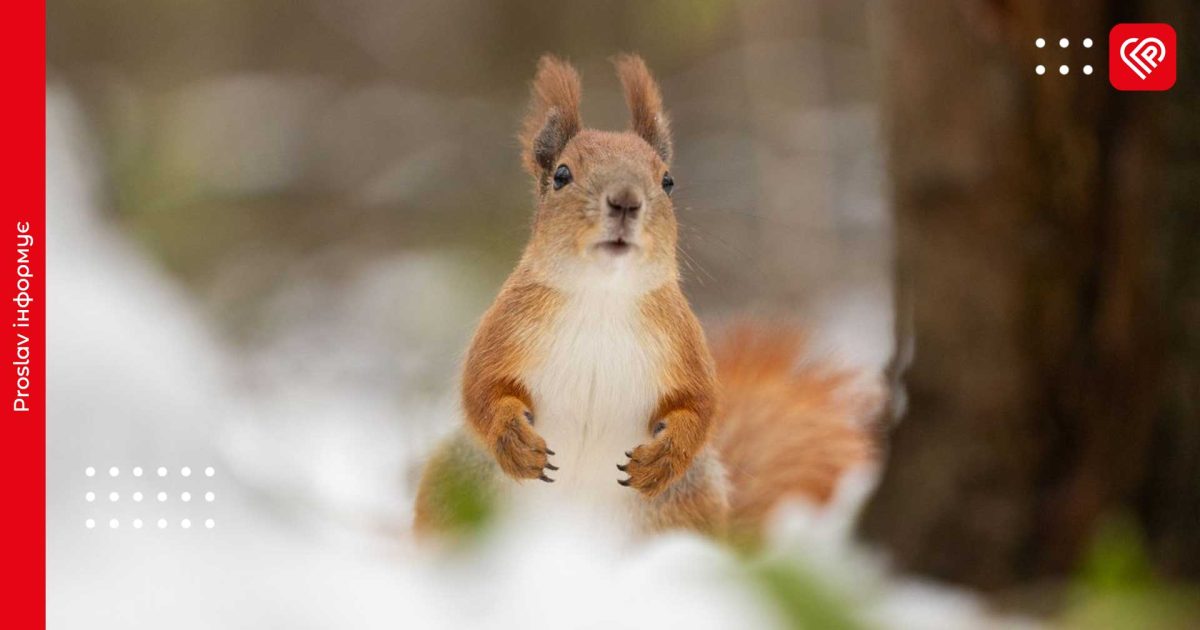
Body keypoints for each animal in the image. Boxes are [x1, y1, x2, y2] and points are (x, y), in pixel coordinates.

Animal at [417, 54, 878, 540]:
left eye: (668, 180)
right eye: (561, 175)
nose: (625, 201)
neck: (601, 295)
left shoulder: (684, 342)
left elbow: (700, 403)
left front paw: (663, 457)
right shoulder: (504, 328)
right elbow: (481, 388)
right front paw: (515, 442)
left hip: (690, 499)